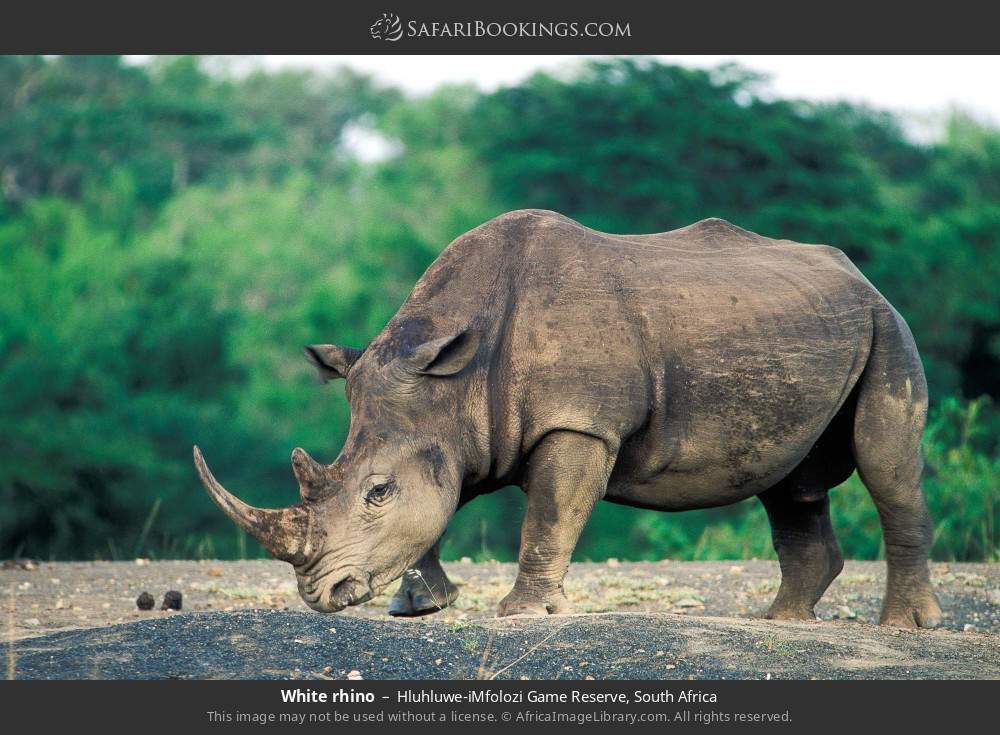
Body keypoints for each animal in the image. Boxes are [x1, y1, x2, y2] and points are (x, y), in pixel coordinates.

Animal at [194, 210, 941, 628]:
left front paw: (521, 613)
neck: (451, 379)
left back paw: (906, 627)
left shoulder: (580, 423)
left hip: (888, 325)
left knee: (885, 464)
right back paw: (786, 621)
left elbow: (549, 515)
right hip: (805, 328)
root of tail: (861, 276)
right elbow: (437, 505)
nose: (321, 595)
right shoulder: (459, 428)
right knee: (792, 482)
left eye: (377, 492)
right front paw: (421, 606)